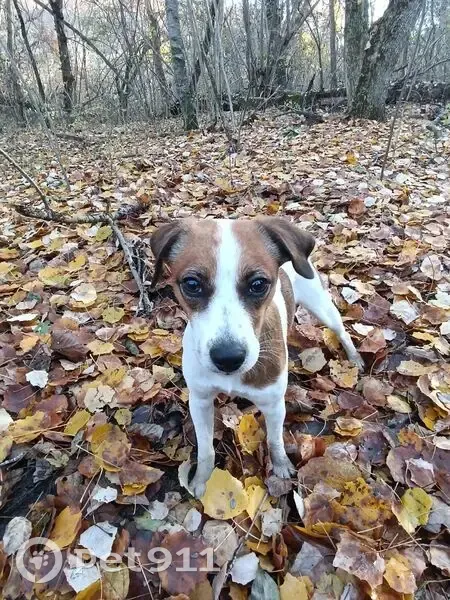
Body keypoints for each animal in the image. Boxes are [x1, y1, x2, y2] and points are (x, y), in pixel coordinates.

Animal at [151, 217, 363, 498]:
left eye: (258, 284)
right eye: (192, 284)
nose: (228, 357)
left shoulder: (273, 404)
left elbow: (274, 440)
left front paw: (281, 466)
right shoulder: (200, 400)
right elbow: (206, 449)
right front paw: (202, 479)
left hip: (321, 306)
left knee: (341, 330)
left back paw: (354, 357)